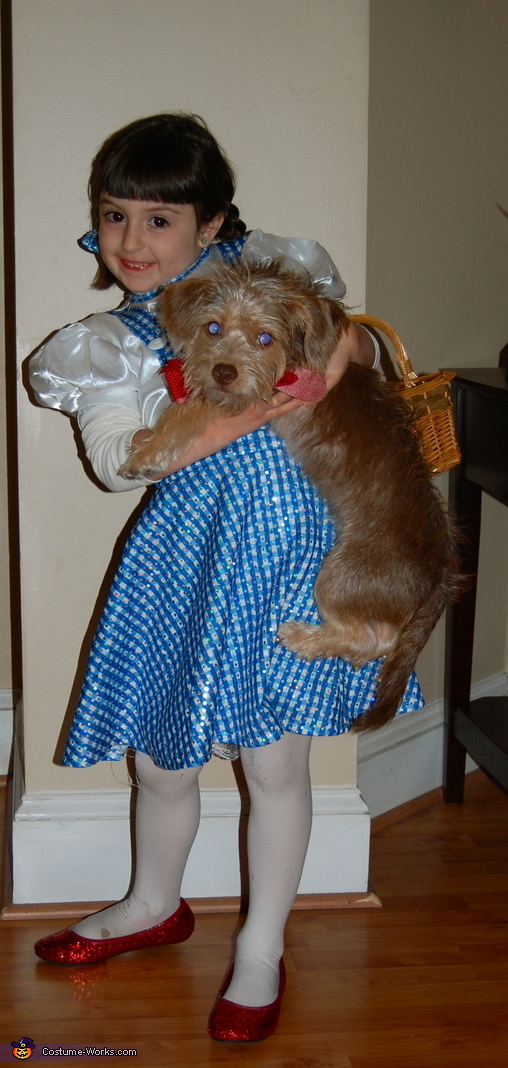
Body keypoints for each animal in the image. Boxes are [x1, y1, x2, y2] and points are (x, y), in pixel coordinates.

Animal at [121, 260, 458, 734]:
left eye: (266, 338)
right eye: (212, 327)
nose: (224, 371)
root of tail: (440, 570)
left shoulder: (257, 396)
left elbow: (190, 410)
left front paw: (146, 454)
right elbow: (185, 406)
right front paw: (147, 441)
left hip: (337, 577)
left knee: (367, 636)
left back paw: (302, 638)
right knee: (378, 642)